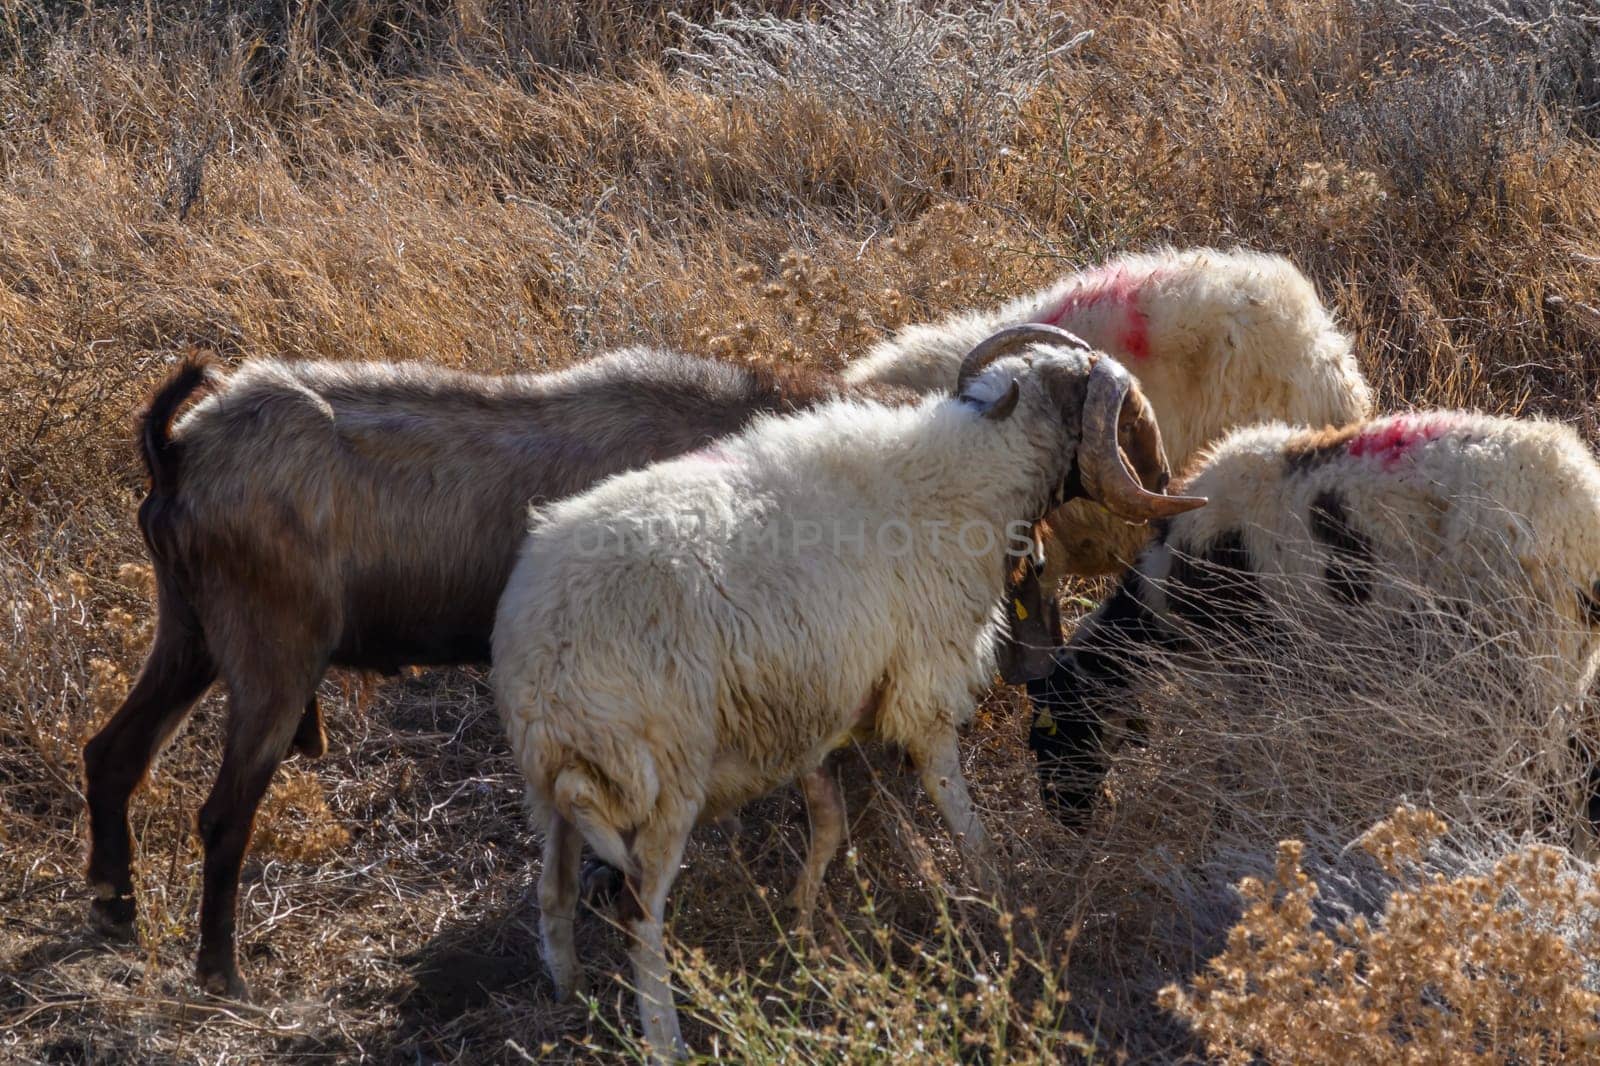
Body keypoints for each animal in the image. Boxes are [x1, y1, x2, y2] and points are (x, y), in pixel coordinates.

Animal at [492, 323, 1203, 1056]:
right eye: (1130, 418)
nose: (1166, 484)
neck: (968, 474)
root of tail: (543, 662)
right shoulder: (922, 687)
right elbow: (953, 804)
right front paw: (997, 892)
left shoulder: (824, 709)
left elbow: (831, 823)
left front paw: (803, 923)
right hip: (665, 782)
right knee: (639, 918)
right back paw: (666, 1042)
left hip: (552, 790)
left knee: (553, 891)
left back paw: (569, 994)